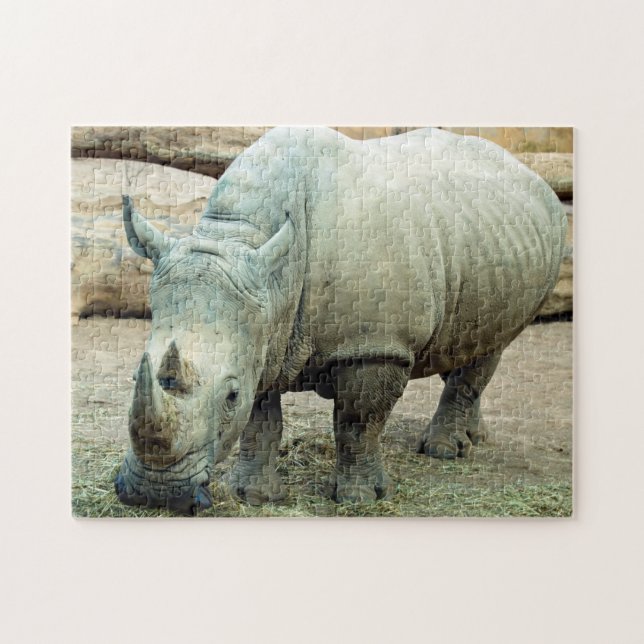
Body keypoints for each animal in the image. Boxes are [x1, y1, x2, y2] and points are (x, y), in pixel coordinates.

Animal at [114, 126, 567, 515]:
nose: (155, 495)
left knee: (491, 346)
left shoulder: (373, 344)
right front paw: (251, 495)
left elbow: (356, 422)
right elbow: (260, 421)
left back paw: (444, 451)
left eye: (229, 396)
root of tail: (530, 174)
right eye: (137, 373)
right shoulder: (261, 331)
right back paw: (474, 438)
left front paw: (359, 498)